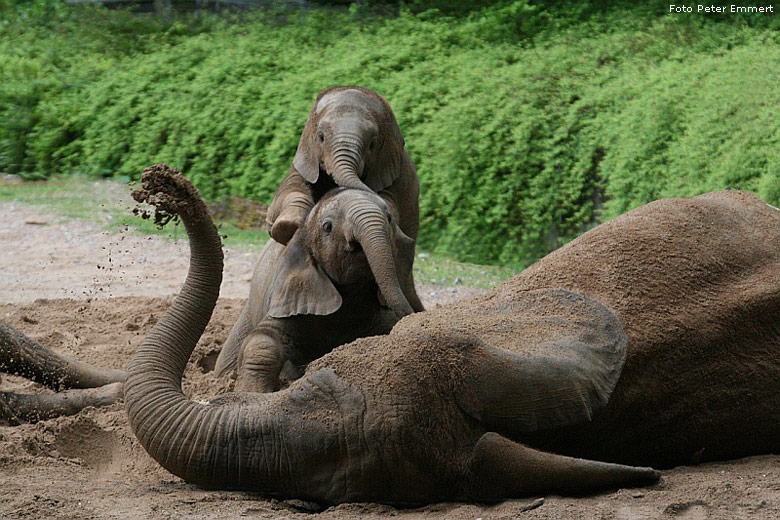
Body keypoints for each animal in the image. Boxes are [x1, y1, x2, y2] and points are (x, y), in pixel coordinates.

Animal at [268, 86, 426, 312]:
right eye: (321, 137)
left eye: (372, 144)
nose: (406, 240)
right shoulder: (304, 161)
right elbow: (290, 188)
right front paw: (287, 227)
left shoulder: (395, 177)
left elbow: (392, 204)